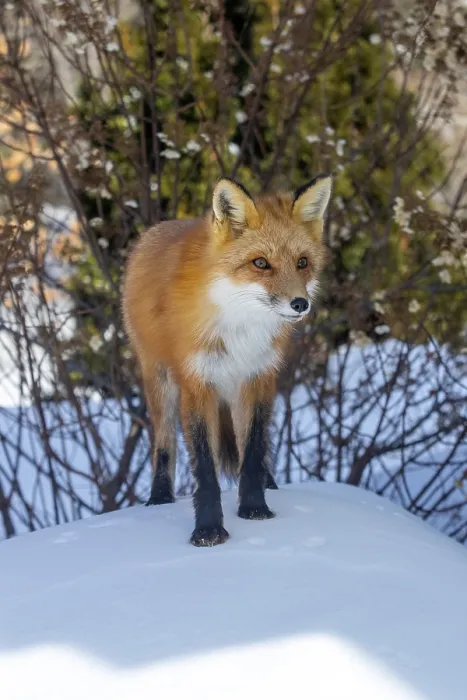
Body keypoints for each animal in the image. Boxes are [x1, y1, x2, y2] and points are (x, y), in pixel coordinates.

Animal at [122, 174, 332, 546]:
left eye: (302, 263)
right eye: (260, 263)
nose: (300, 304)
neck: (241, 330)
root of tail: (154, 230)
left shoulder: (258, 378)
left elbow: (253, 451)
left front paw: (255, 508)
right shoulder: (197, 383)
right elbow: (206, 469)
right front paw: (208, 530)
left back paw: (270, 484)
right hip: (160, 381)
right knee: (164, 444)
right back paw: (159, 498)